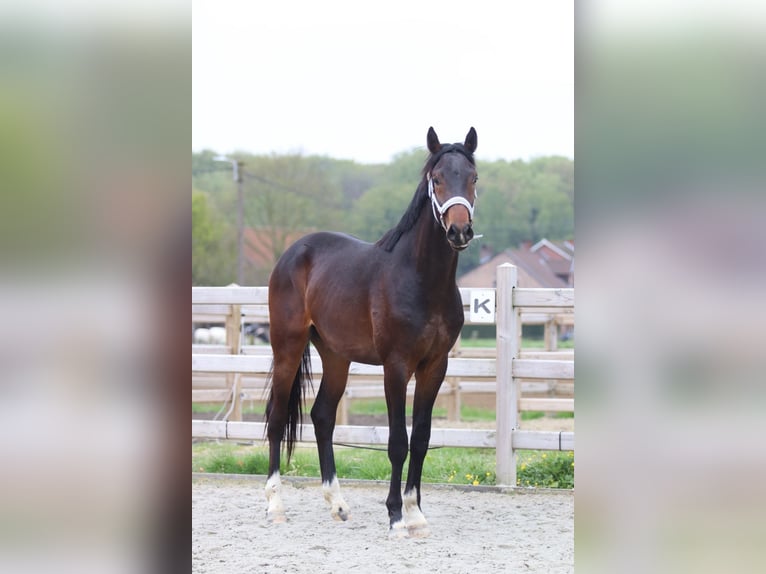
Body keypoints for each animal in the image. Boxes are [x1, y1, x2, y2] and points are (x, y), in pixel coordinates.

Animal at [264, 126, 479, 537]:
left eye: (473, 178)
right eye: (437, 179)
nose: (459, 230)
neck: (421, 279)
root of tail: (292, 252)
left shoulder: (435, 366)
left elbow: (422, 439)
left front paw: (415, 514)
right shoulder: (396, 366)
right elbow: (397, 441)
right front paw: (395, 515)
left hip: (335, 356)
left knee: (322, 417)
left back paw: (337, 504)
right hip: (287, 348)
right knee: (278, 417)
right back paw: (275, 505)